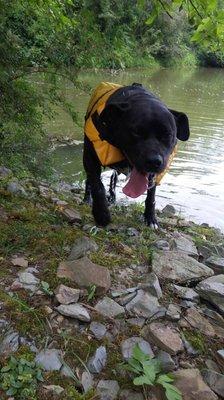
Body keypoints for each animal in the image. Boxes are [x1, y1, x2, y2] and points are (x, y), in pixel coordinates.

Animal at [82, 82, 189, 227]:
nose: (154, 161)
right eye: (136, 132)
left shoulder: (154, 176)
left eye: (168, 135)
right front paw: (101, 214)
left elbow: (151, 195)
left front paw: (150, 218)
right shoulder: (90, 157)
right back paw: (87, 199)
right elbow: (97, 185)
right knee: (90, 181)